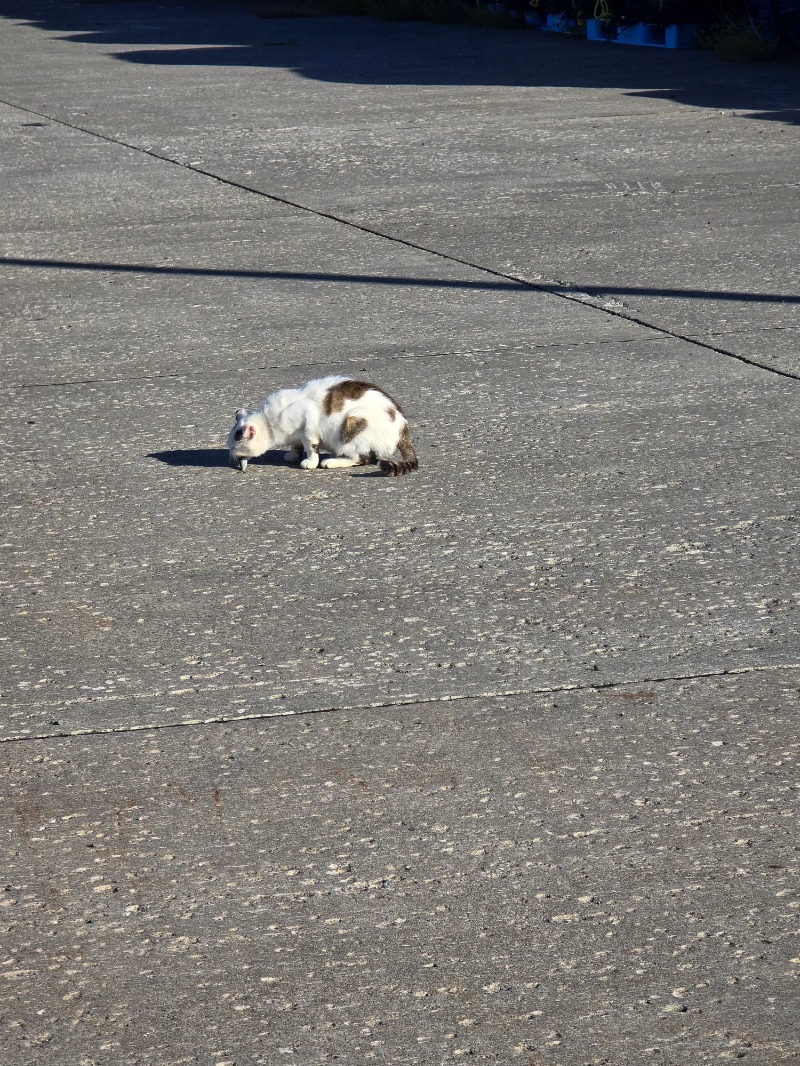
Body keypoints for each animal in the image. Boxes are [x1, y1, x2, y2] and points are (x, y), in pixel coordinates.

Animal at [227, 375, 420, 475]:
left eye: (233, 448)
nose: (231, 456)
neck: (268, 420)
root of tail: (402, 426)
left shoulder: (308, 424)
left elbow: (311, 447)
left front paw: (310, 462)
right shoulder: (297, 435)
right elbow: (296, 445)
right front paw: (292, 455)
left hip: (353, 421)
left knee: (364, 458)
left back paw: (331, 461)